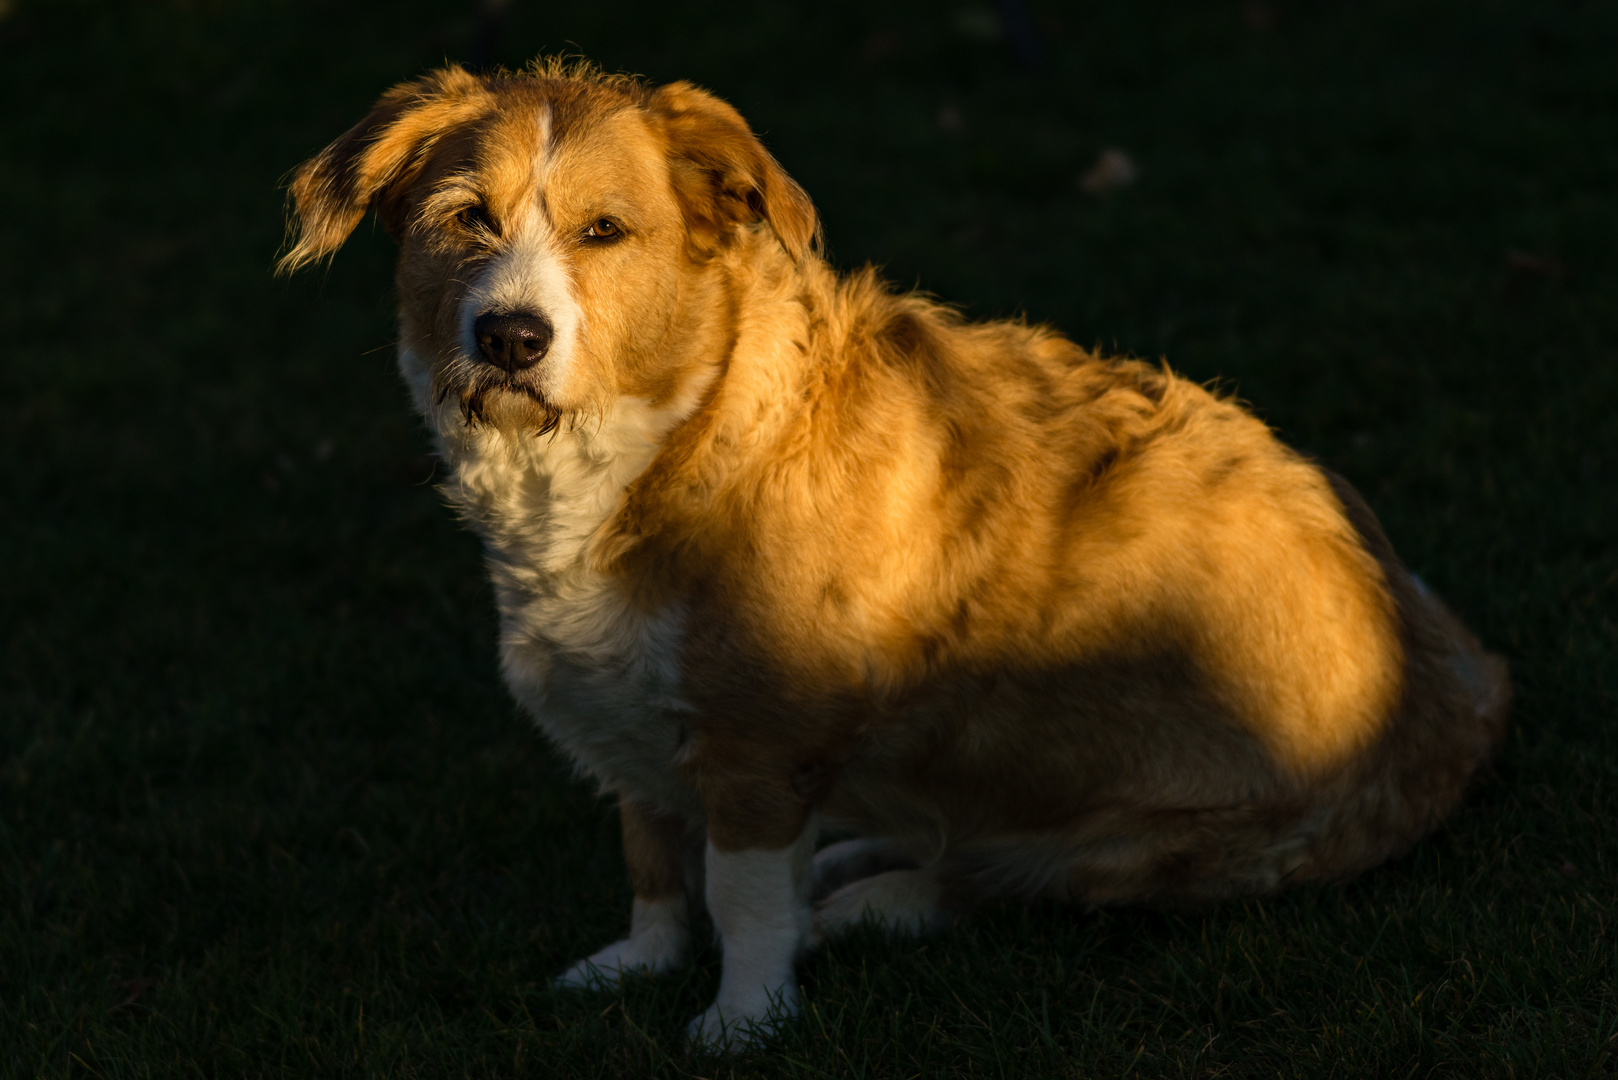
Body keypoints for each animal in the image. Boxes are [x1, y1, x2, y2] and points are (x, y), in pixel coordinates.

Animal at [278, 59, 1501, 1049]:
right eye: (466, 219)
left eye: (604, 233)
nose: (509, 337)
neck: (671, 437)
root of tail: (1455, 690)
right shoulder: (631, 706)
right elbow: (655, 856)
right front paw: (640, 961)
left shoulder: (760, 737)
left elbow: (742, 894)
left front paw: (745, 1016)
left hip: (1139, 842)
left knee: (998, 883)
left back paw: (867, 902)